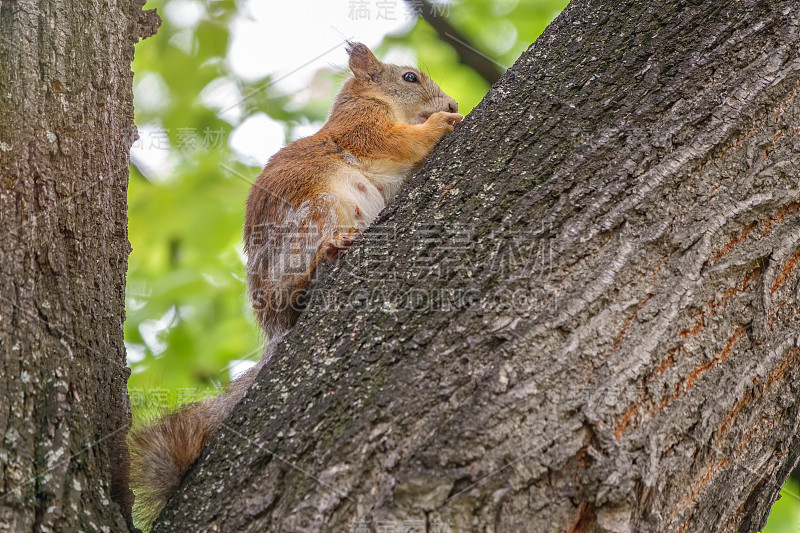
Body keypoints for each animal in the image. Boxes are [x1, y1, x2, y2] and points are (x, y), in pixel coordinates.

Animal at [126, 41, 462, 528]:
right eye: (410, 78)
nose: (451, 104)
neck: (371, 100)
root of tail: (276, 326)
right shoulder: (361, 129)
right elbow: (394, 141)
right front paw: (441, 124)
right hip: (315, 215)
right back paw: (324, 258)